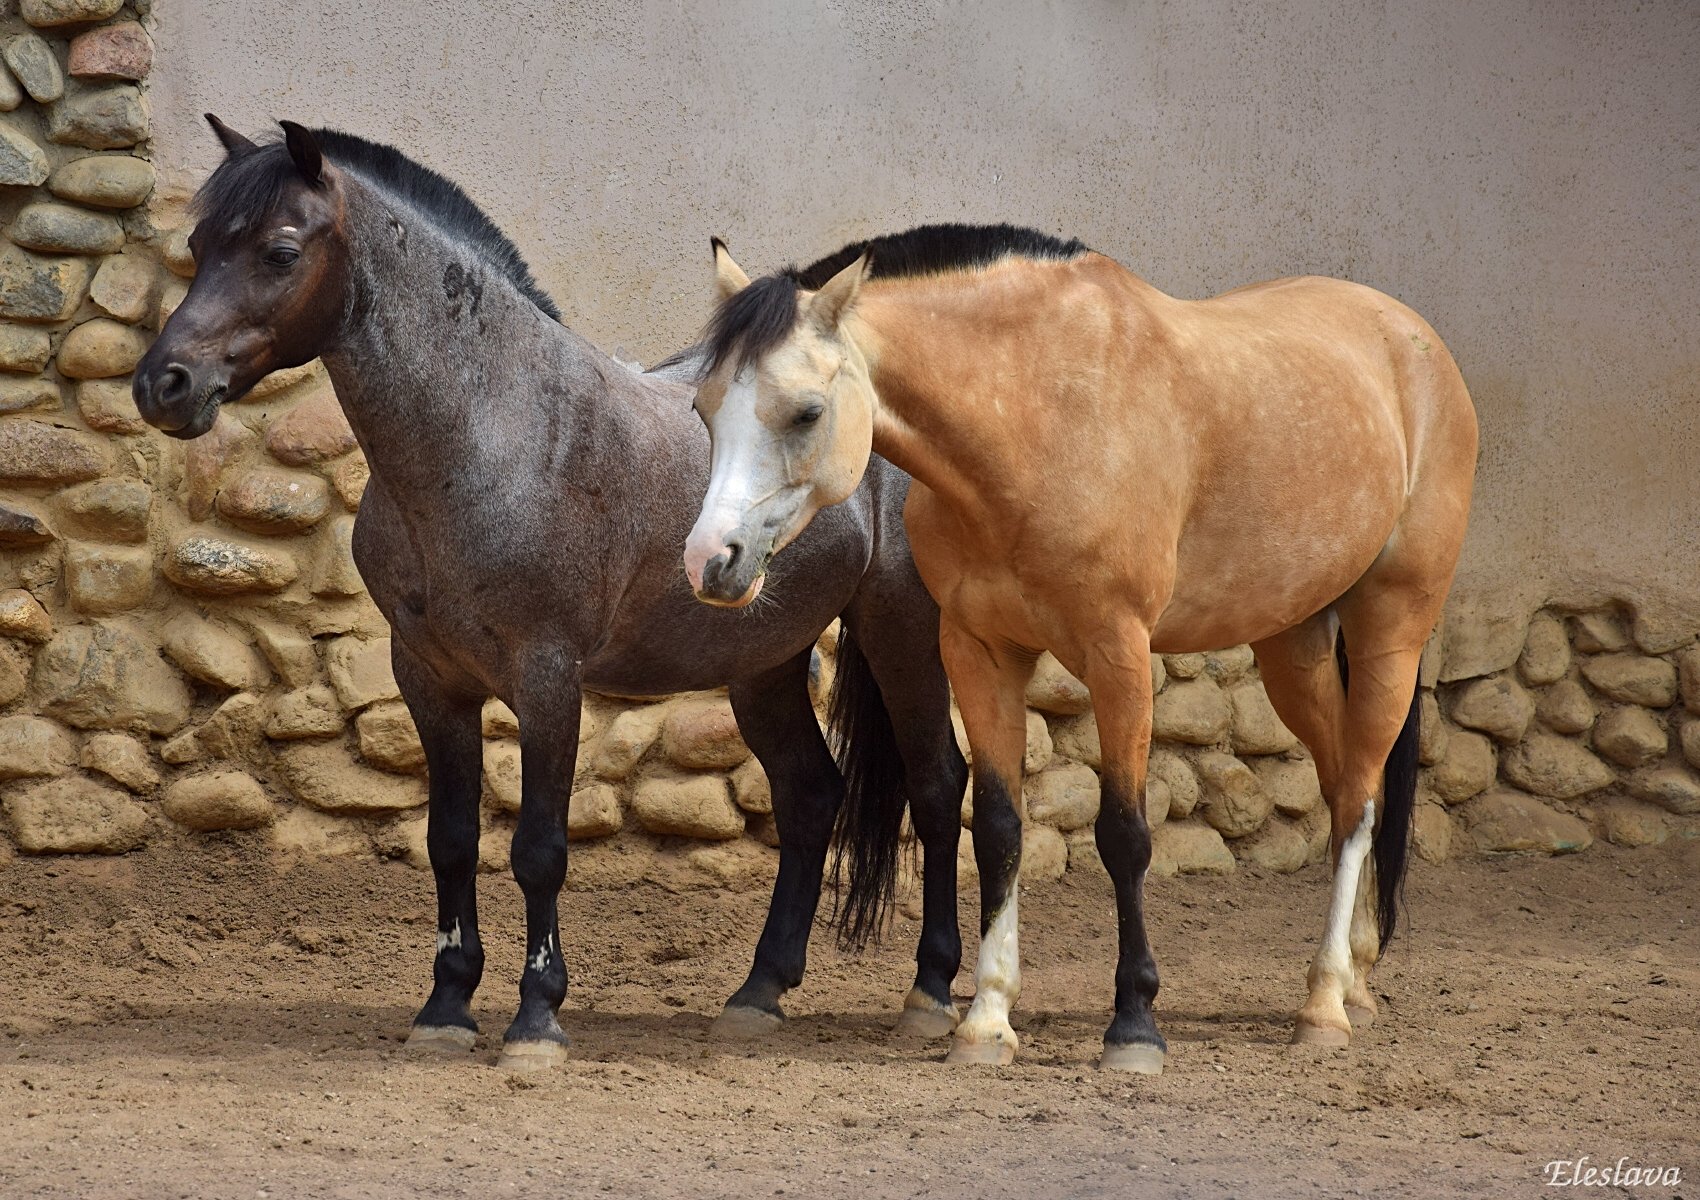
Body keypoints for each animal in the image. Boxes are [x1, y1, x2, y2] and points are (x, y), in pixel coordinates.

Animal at [129, 114, 972, 1067]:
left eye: (278, 250)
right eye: (198, 246)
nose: (164, 385)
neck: (495, 436)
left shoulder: (547, 679)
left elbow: (539, 848)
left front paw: (537, 1018)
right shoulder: (428, 677)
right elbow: (451, 841)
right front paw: (446, 1007)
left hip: (899, 629)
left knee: (937, 786)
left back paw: (931, 991)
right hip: (764, 657)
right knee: (809, 796)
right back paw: (758, 993)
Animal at [683, 229, 1482, 1067]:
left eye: (806, 411)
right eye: (704, 409)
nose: (710, 562)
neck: (1037, 420)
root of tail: (1412, 339)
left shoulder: (1117, 653)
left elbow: (1124, 836)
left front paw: (1133, 1025)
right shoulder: (979, 651)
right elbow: (998, 827)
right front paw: (987, 1020)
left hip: (1391, 627)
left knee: (1359, 797)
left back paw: (1323, 1004)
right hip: (1290, 644)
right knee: (1342, 784)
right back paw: (1354, 976)